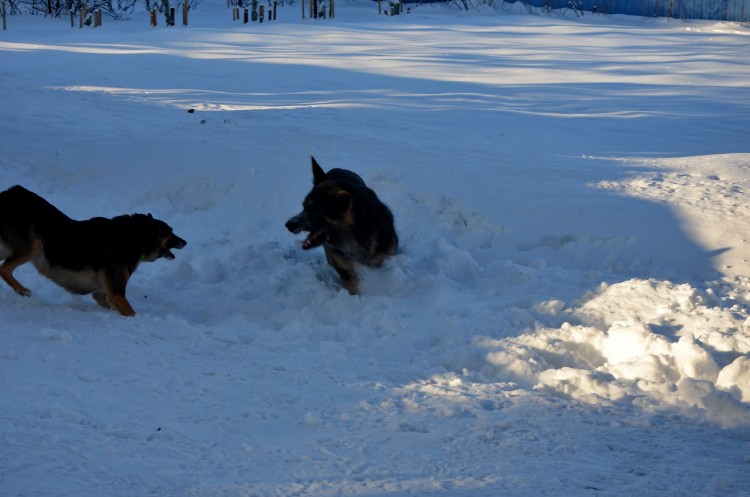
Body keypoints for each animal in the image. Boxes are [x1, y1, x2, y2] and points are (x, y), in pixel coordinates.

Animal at [0, 184, 187, 316]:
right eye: (170, 232)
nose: (185, 242)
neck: (134, 238)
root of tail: (8, 194)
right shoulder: (116, 294)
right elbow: (132, 313)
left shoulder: (103, 294)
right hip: (32, 247)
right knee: (4, 269)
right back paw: (22, 290)